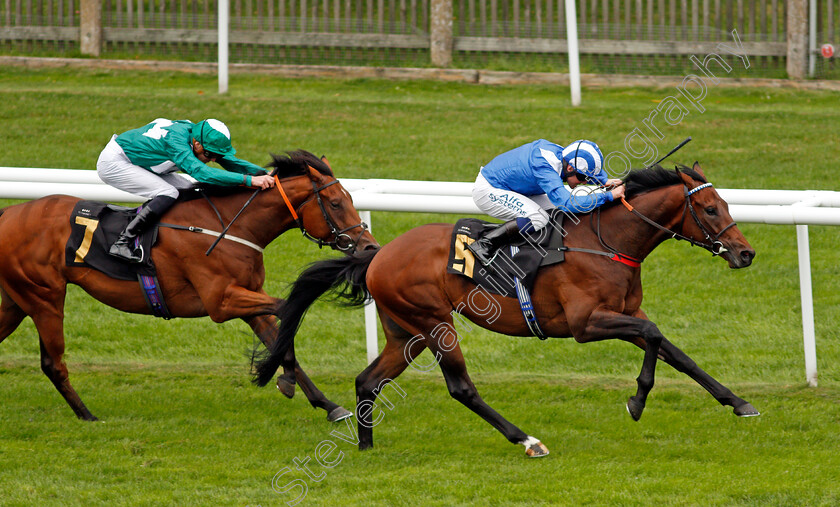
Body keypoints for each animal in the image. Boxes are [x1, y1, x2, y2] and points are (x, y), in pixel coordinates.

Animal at [0, 149, 376, 422]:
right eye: (336, 203)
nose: (370, 247)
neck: (228, 227)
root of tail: (8, 214)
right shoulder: (222, 302)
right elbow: (289, 310)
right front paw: (284, 379)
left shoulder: (248, 300)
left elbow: (280, 335)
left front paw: (329, 405)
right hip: (44, 296)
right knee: (52, 362)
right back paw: (87, 415)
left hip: (16, 299)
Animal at [253, 163, 756, 456]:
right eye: (711, 209)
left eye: (726, 203)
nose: (745, 253)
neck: (605, 241)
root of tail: (376, 256)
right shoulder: (586, 323)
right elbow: (653, 337)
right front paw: (636, 400)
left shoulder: (623, 315)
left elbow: (674, 350)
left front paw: (738, 402)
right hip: (434, 323)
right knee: (461, 387)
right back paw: (527, 440)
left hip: (405, 332)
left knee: (368, 380)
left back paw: (366, 445)